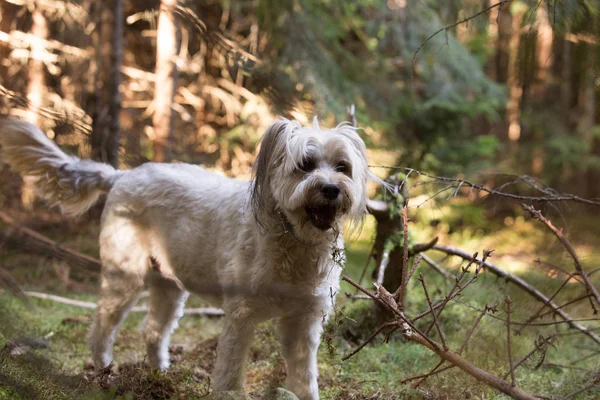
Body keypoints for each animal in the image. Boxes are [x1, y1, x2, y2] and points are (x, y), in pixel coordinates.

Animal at [1, 117, 380, 398]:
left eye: (343, 167)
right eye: (305, 165)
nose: (330, 189)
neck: (294, 243)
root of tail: (122, 174)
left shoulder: (304, 322)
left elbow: (304, 377)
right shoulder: (241, 316)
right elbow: (230, 371)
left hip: (169, 287)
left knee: (153, 331)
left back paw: (159, 376)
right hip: (125, 277)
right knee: (101, 330)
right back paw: (104, 373)